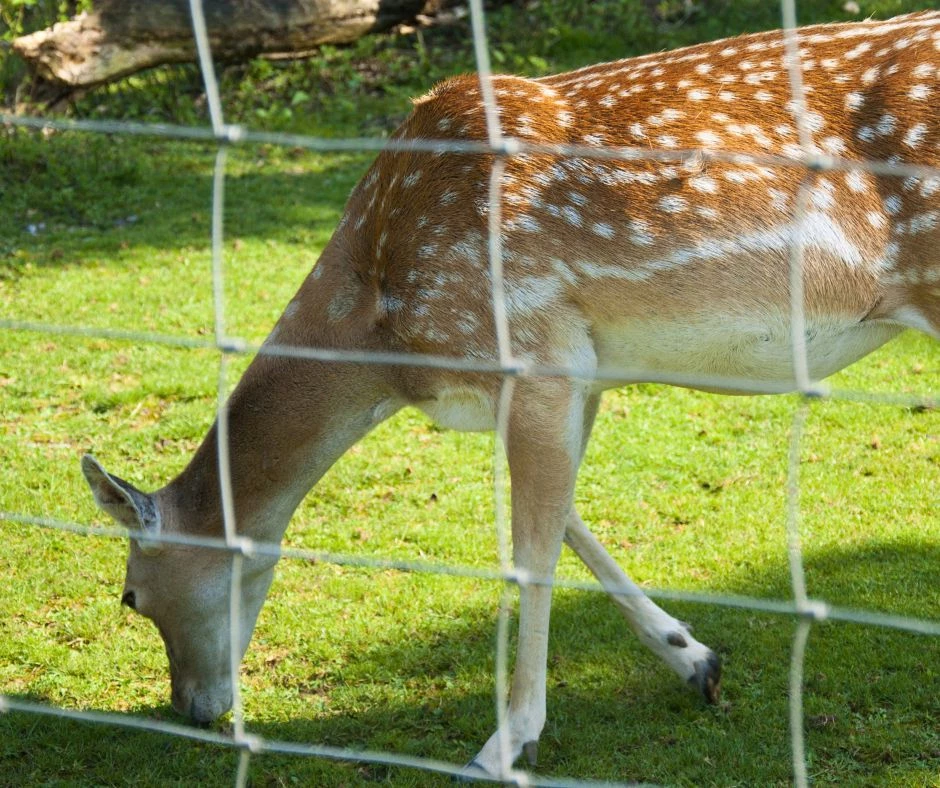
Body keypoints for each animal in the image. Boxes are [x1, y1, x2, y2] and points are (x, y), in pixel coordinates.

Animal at [84, 9, 936, 780]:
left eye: (131, 596)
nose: (192, 709)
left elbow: (529, 555)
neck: (386, 339)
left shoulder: (533, 355)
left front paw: (505, 743)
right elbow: (567, 519)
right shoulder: (572, 375)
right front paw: (695, 659)